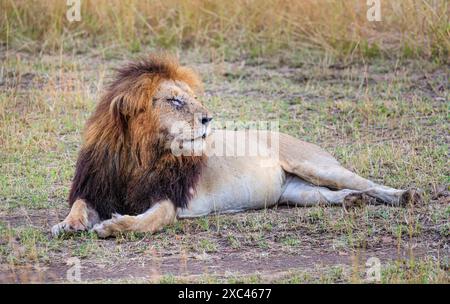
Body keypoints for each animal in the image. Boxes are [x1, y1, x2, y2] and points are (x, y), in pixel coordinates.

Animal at [51, 55, 420, 239]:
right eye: (174, 101)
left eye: (192, 98)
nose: (208, 118)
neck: (139, 155)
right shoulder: (96, 188)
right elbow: (79, 206)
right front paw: (68, 225)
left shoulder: (168, 200)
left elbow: (146, 222)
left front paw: (113, 226)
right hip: (297, 192)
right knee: (331, 195)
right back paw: (352, 201)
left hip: (316, 165)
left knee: (368, 183)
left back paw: (405, 195)